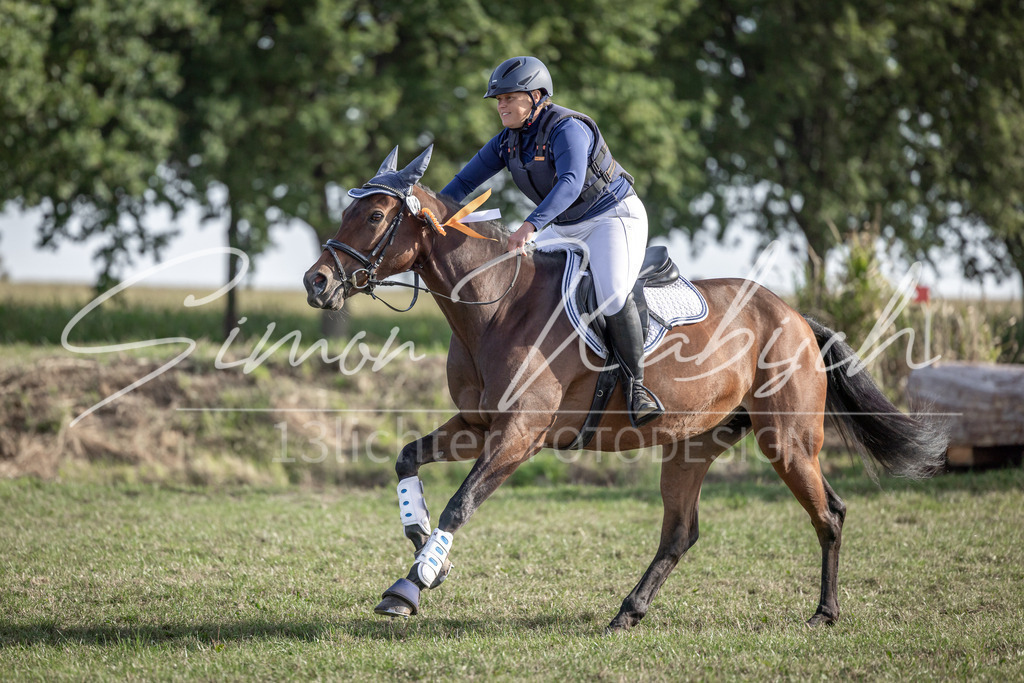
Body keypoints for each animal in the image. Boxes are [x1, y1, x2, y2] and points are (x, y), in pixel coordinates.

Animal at [302, 146, 947, 631]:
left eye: (376, 217)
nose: (317, 282)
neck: (495, 305)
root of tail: (794, 317)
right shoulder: (477, 425)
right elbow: (408, 457)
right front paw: (420, 544)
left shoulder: (519, 434)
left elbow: (461, 502)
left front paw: (412, 584)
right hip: (692, 446)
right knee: (680, 534)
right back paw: (628, 612)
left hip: (786, 442)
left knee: (829, 515)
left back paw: (824, 613)